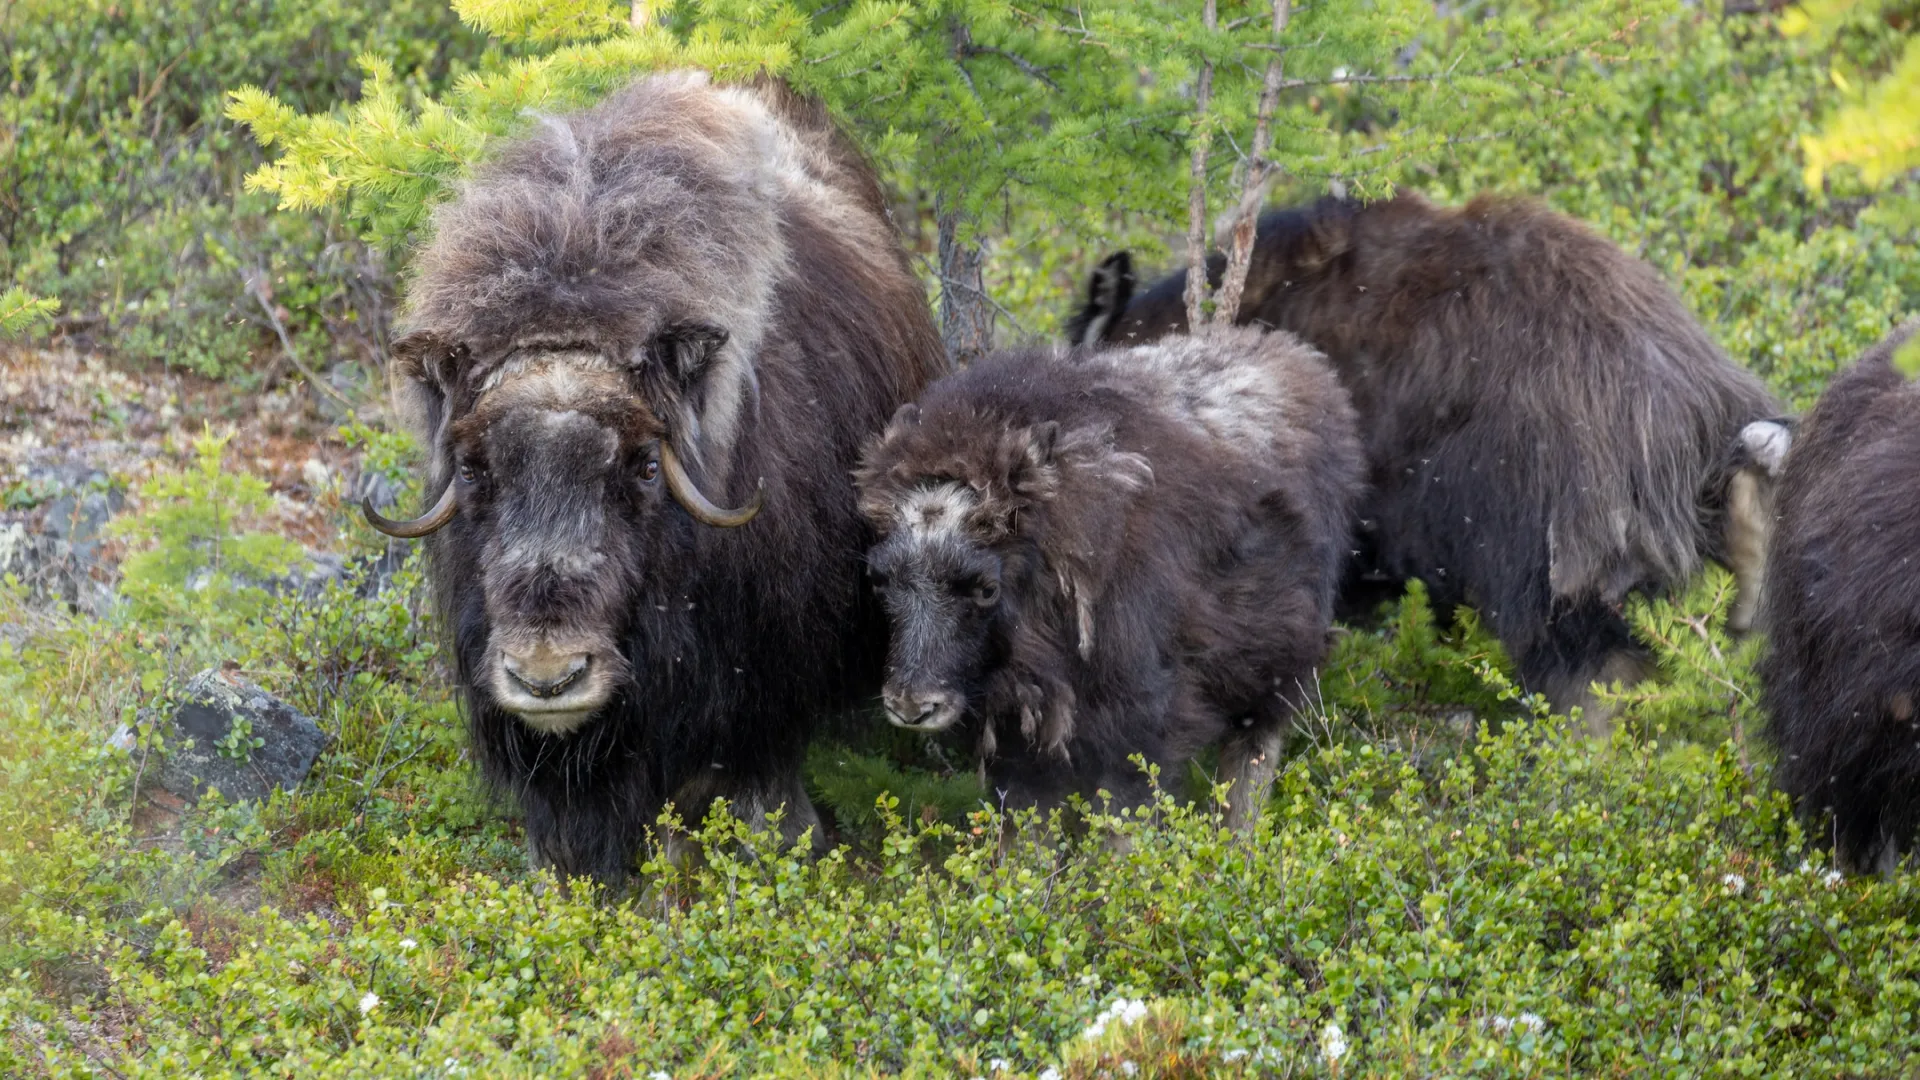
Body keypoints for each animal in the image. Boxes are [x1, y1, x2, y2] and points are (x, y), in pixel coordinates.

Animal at [360, 73, 944, 883]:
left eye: (641, 466)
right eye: (475, 469)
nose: (548, 677)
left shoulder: (760, 670)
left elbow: (758, 779)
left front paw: (783, 853)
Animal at [856, 322, 1367, 818]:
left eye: (985, 588)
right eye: (881, 579)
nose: (911, 706)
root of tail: (1306, 364)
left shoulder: (1141, 723)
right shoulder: (1022, 741)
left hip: (1277, 670)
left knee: (1251, 762)